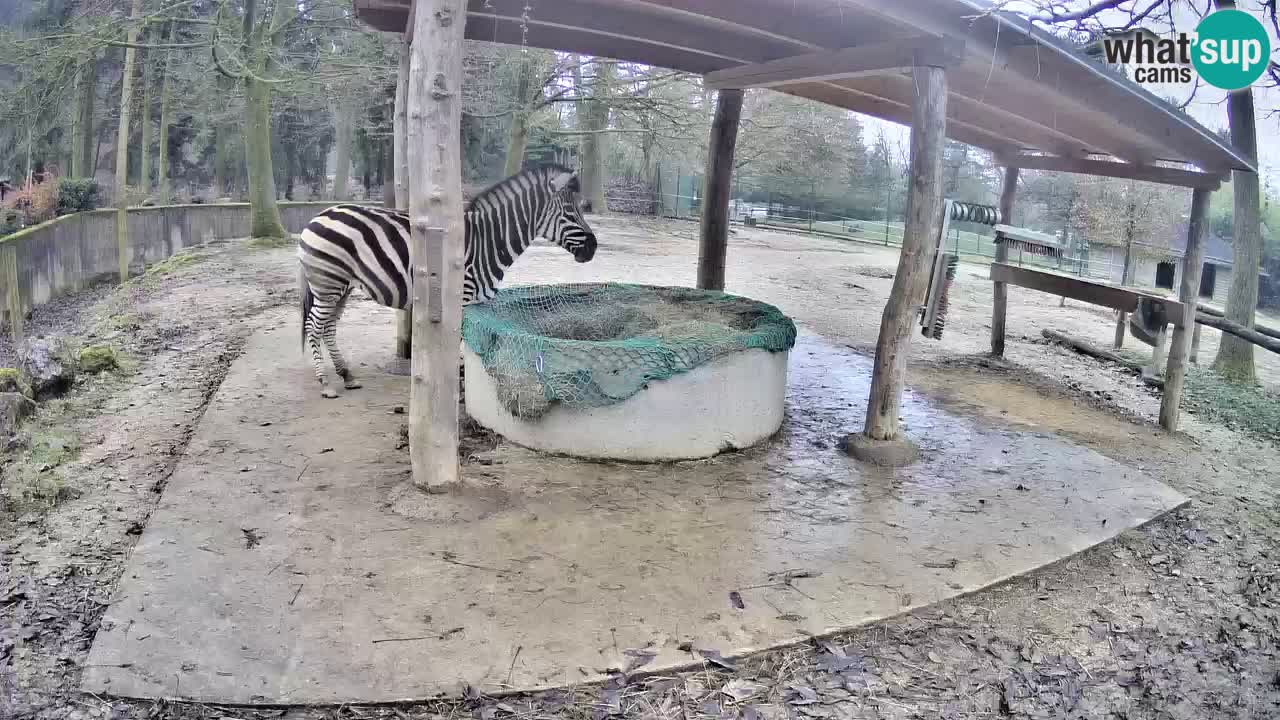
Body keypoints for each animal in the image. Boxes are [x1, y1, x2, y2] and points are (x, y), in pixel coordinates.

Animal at [297, 164, 598, 398]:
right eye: (570, 212)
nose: (593, 248)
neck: (489, 240)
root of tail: (317, 216)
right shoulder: (461, 297)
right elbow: (460, 343)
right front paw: (456, 384)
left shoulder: (477, 302)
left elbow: (480, 343)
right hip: (328, 283)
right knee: (314, 326)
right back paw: (325, 383)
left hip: (341, 286)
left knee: (328, 328)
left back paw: (346, 375)